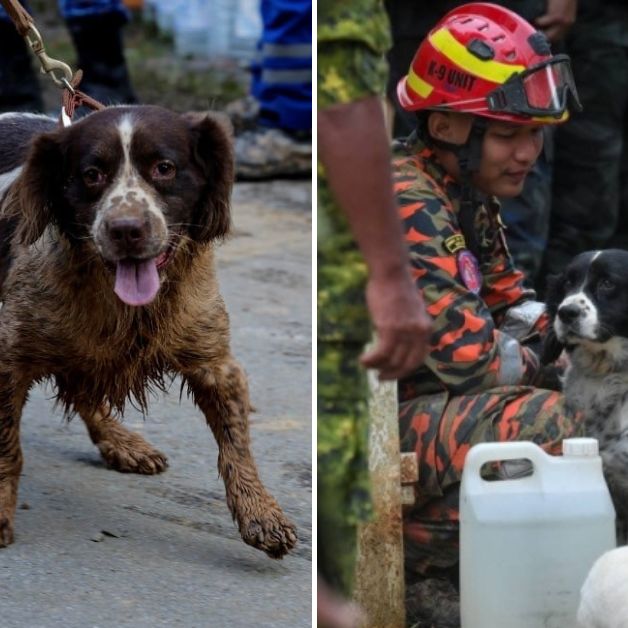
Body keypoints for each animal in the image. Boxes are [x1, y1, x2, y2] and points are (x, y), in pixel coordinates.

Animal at [0, 108, 296, 560]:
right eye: (91, 175)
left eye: (164, 168)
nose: (126, 230)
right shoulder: (9, 355)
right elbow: (7, 448)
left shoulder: (215, 362)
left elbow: (237, 445)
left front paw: (260, 514)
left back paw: (120, 441)